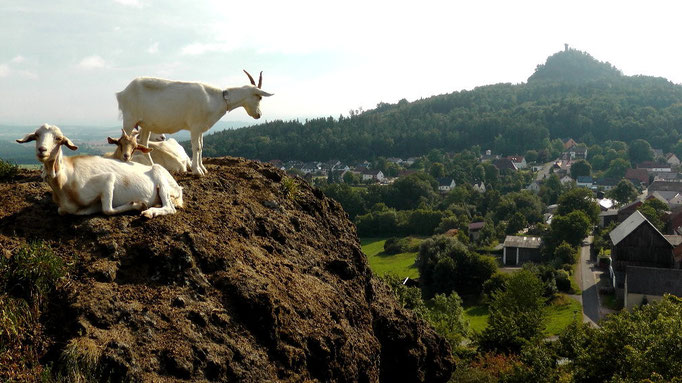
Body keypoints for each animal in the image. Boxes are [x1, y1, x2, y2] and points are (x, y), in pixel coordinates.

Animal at [17, 124, 183, 219]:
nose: (42, 150)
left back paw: (150, 212)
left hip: (161, 178)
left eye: (58, 138)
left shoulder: (107, 179)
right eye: (36, 135)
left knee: (170, 207)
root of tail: (177, 187)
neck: (63, 182)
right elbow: (62, 211)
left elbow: (107, 209)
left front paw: (137, 204)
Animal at [117, 70, 274, 177]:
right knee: (125, 139)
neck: (217, 98)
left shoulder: (201, 128)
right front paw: (197, 171)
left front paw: (202, 168)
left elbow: (201, 146)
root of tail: (122, 93)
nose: (259, 115)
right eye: (259, 97)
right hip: (129, 119)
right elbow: (196, 147)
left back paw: (152, 166)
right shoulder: (195, 126)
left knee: (143, 142)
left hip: (146, 124)